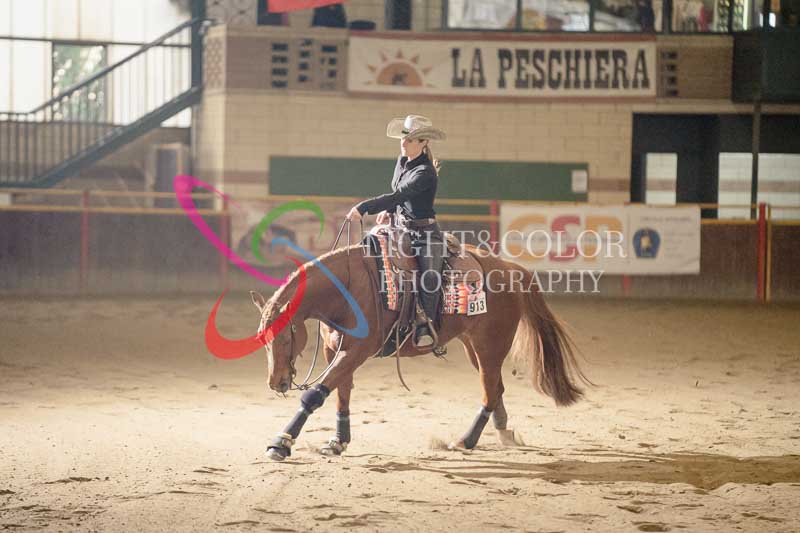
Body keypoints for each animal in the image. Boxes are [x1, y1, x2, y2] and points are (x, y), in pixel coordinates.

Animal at [250, 239, 590, 461]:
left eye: (284, 338)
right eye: (263, 339)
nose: (276, 382)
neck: (348, 289)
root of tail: (510, 268)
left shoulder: (356, 352)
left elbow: (315, 394)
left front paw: (281, 443)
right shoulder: (335, 351)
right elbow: (341, 394)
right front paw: (337, 442)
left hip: (491, 345)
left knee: (490, 392)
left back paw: (466, 441)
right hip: (474, 346)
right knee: (496, 389)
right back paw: (502, 433)